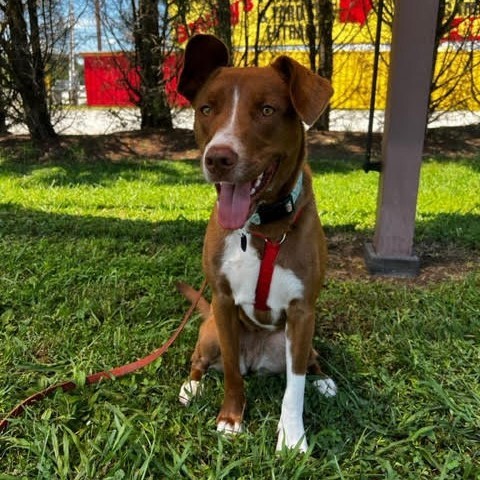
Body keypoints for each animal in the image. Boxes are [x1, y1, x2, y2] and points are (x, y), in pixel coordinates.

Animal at [176, 35, 338, 452]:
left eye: (266, 110)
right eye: (206, 109)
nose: (217, 157)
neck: (263, 226)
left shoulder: (302, 312)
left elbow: (294, 389)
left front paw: (292, 439)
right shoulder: (222, 301)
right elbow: (232, 372)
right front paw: (231, 418)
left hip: (300, 339)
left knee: (308, 362)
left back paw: (323, 378)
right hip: (211, 331)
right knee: (202, 360)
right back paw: (191, 385)